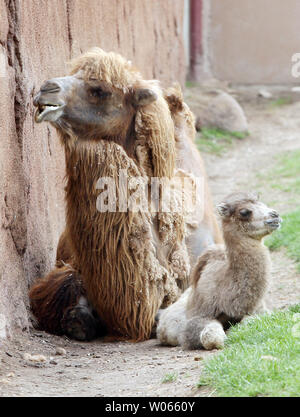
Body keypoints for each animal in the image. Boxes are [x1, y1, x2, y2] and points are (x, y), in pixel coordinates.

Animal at [157, 192, 282, 348]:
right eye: (244, 212)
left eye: (262, 204)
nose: (275, 215)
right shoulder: (198, 316)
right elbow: (211, 337)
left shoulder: (260, 310)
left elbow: (254, 319)